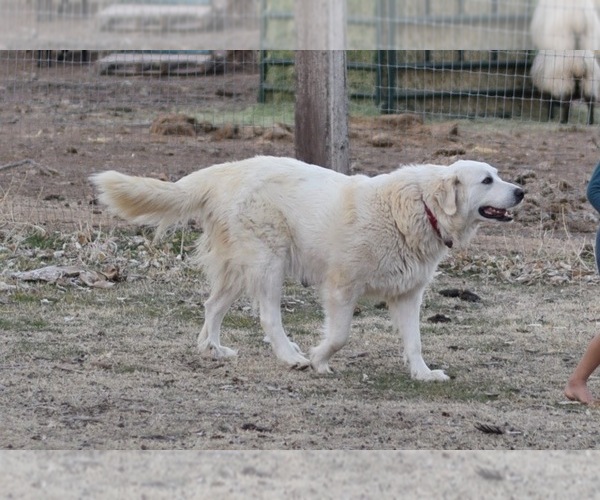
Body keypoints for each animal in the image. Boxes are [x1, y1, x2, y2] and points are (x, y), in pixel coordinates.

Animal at [90, 154, 524, 380]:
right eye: (487, 180)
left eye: (499, 175)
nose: (521, 191)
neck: (419, 208)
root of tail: (225, 171)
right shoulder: (341, 288)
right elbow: (340, 335)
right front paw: (318, 359)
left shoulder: (407, 296)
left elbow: (414, 342)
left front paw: (423, 373)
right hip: (268, 263)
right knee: (268, 317)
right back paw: (290, 356)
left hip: (241, 268)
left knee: (212, 306)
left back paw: (213, 349)